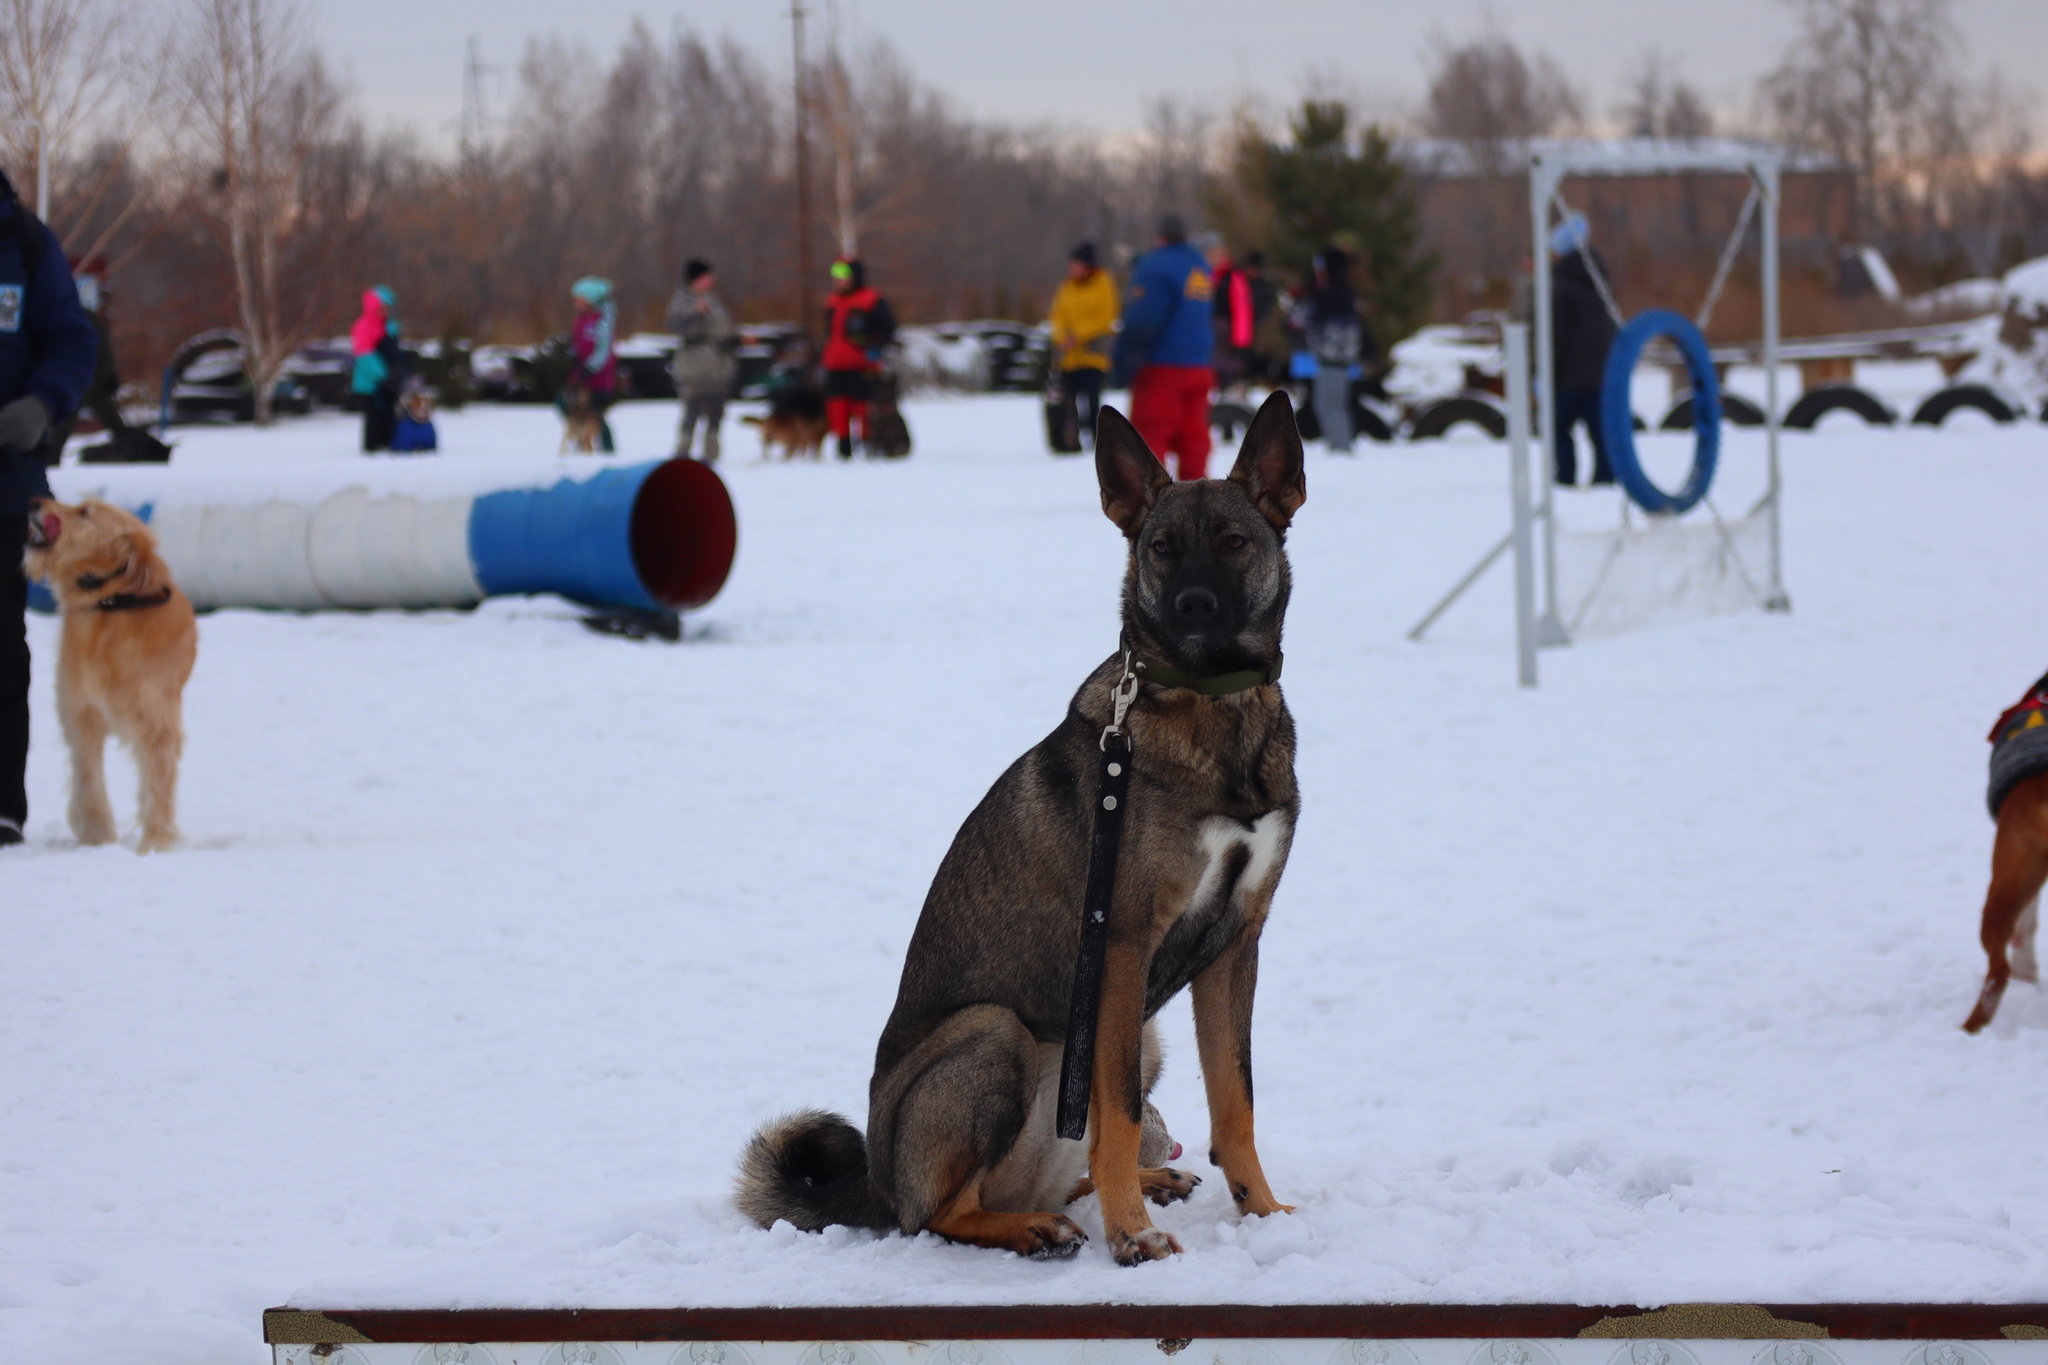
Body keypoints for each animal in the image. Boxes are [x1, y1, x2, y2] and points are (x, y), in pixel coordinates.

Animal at [741, 388, 1310, 1268]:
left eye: (1234, 542)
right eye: (1160, 549)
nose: (1193, 608)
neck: (1211, 707)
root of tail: (875, 1183)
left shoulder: (1236, 945)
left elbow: (1235, 1103)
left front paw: (1262, 1210)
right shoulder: (1121, 945)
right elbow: (1118, 1115)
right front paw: (1133, 1237)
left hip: (1137, 1037)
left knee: (1050, 1174)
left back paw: (1131, 1187)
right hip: (998, 1031)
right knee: (941, 1212)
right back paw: (1035, 1225)